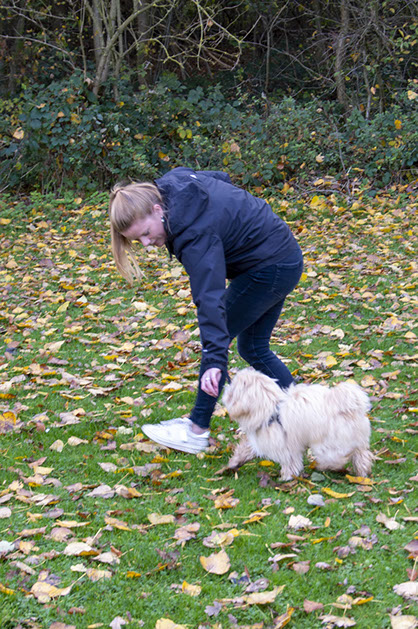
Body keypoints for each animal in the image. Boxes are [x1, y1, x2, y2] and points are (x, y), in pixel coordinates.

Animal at [223, 368, 373, 480]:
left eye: (233, 388)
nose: (226, 386)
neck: (269, 407)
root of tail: (347, 406)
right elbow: (246, 450)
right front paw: (234, 463)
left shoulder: (282, 445)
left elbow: (289, 462)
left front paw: (286, 477)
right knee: (361, 454)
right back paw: (362, 471)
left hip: (329, 443)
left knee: (338, 456)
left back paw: (328, 466)